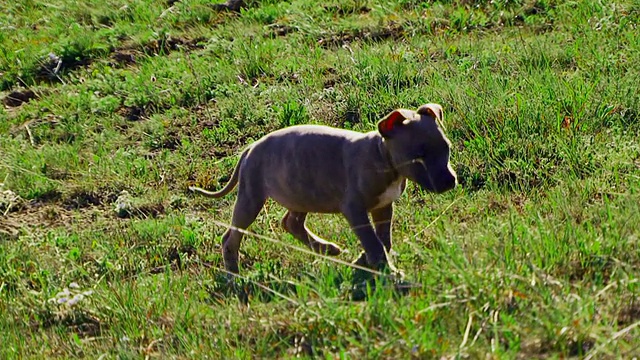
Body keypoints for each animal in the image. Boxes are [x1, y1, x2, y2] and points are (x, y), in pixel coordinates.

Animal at [190, 102, 456, 274]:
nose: (449, 182)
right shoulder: (354, 209)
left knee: (291, 223)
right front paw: (387, 271)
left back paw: (325, 248)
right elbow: (373, 241)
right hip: (251, 196)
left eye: (447, 147)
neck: (382, 157)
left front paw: (365, 260)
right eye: (418, 157)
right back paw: (233, 273)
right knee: (231, 236)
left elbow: (383, 240)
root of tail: (250, 148)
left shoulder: (383, 207)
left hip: (300, 190)